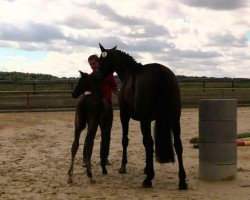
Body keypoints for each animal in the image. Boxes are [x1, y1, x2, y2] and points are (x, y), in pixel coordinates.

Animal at [96, 43, 187, 189]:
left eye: (101, 60)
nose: (98, 75)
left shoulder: (125, 116)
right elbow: (144, 142)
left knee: (150, 143)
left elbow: (126, 140)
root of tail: (161, 73)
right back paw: (182, 180)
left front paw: (124, 166)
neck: (130, 73)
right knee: (178, 144)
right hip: (174, 118)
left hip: (146, 120)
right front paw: (146, 168)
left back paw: (148, 179)